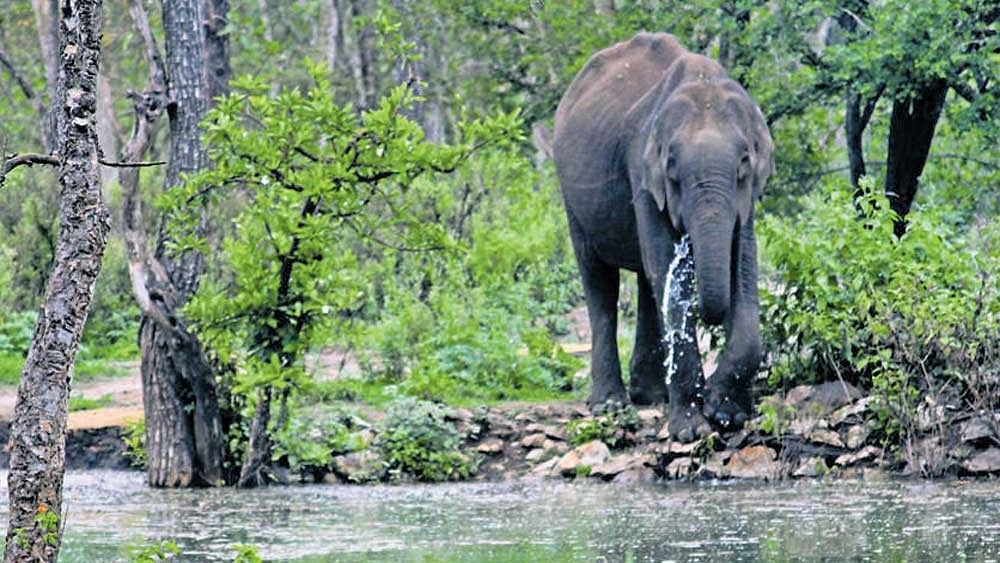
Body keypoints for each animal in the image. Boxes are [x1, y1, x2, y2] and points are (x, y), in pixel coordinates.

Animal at [556, 33, 772, 442]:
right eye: (672, 170)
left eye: (743, 164)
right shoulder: (642, 174)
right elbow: (667, 272)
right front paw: (692, 430)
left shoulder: (748, 197)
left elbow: (743, 268)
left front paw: (726, 413)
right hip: (572, 197)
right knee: (601, 282)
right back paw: (610, 404)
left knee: (645, 278)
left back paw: (649, 395)